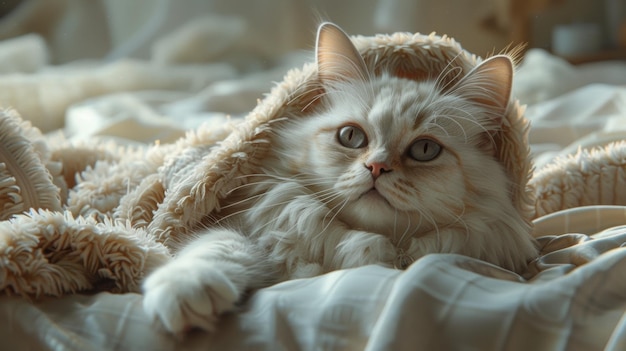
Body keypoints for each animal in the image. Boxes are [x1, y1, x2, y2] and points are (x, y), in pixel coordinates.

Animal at [141, 22, 536, 336]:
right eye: (351, 137)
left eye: (425, 150)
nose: (376, 168)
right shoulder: (251, 221)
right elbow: (216, 247)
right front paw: (185, 294)